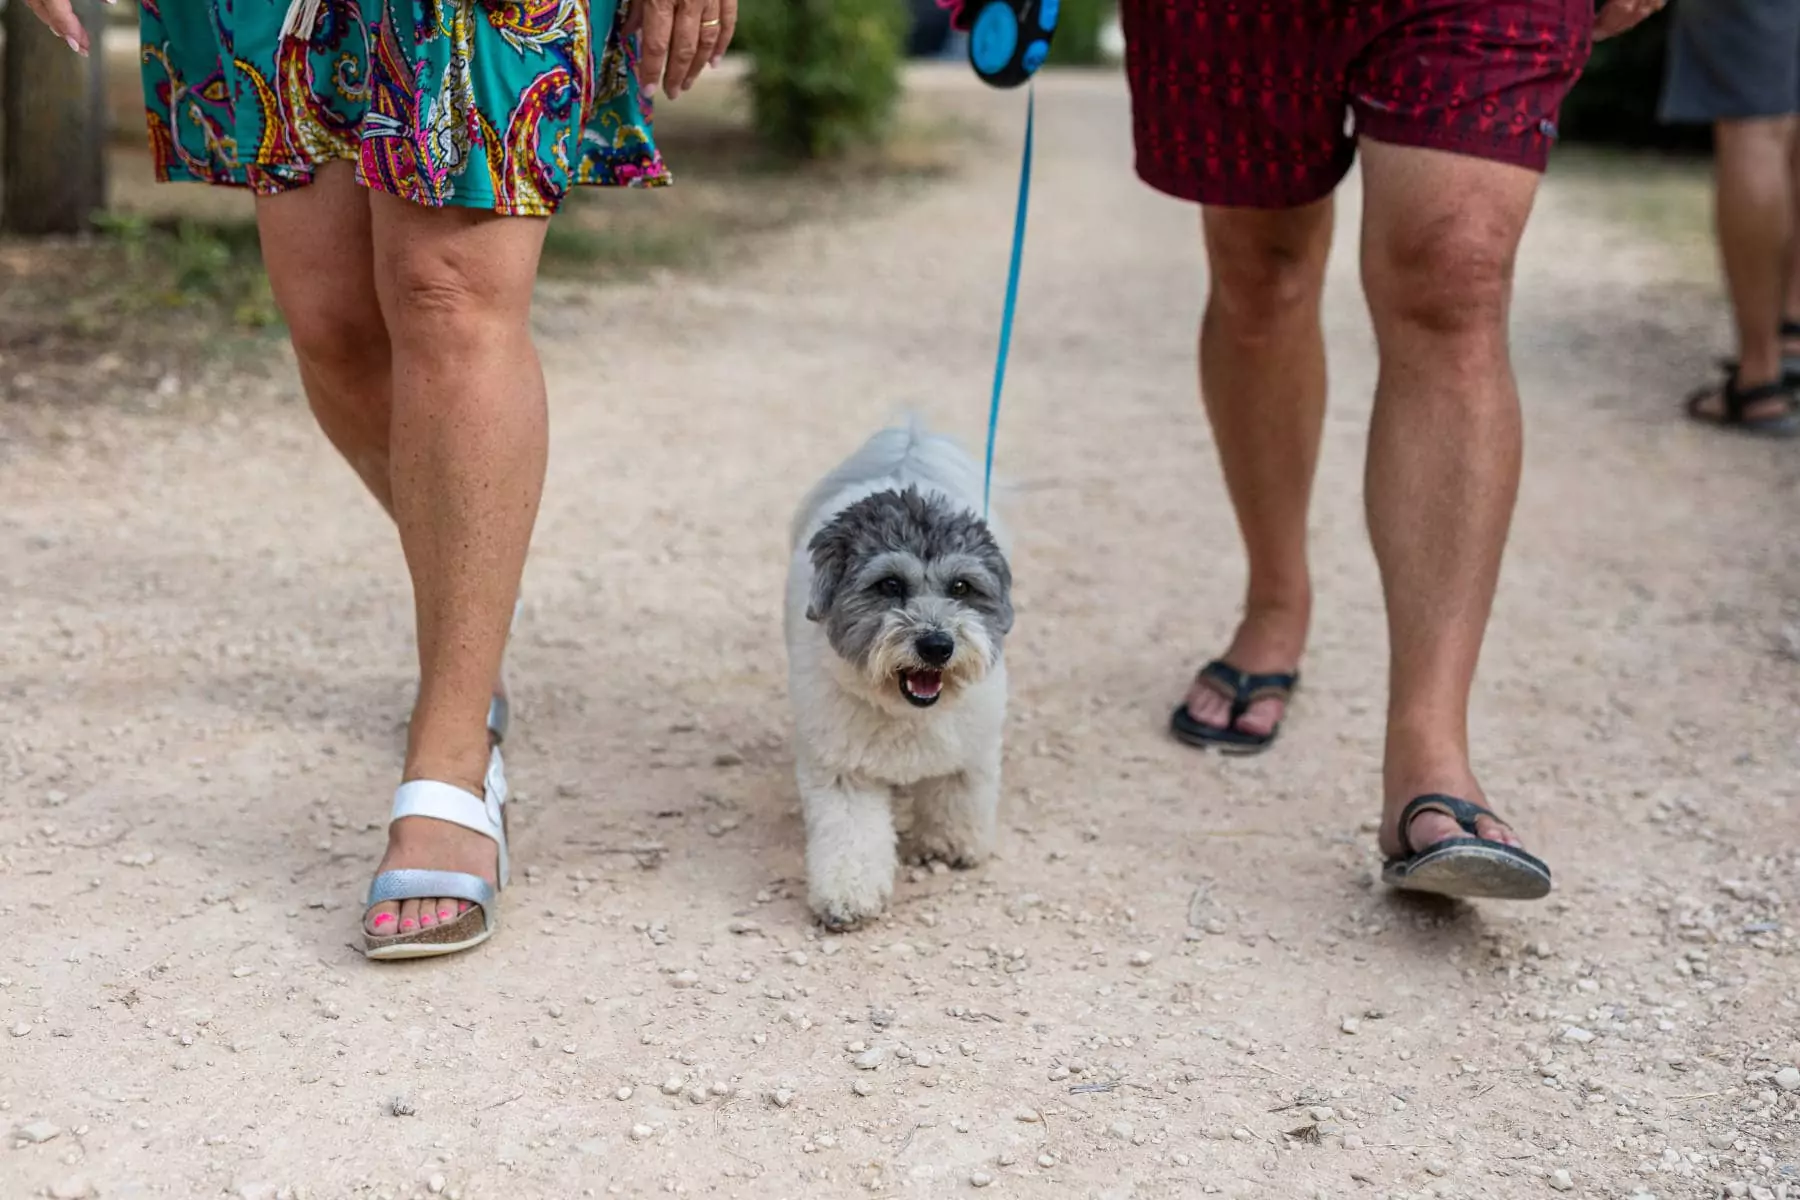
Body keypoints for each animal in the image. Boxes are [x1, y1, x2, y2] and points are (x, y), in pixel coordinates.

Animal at [784, 420, 1022, 928]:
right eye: (889, 585)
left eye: (961, 587)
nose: (936, 645)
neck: (906, 711)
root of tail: (907, 450)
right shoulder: (844, 774)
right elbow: (852, 836)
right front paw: (847, 898)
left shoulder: (970, 753)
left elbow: (958, 795)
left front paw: (950, 845)